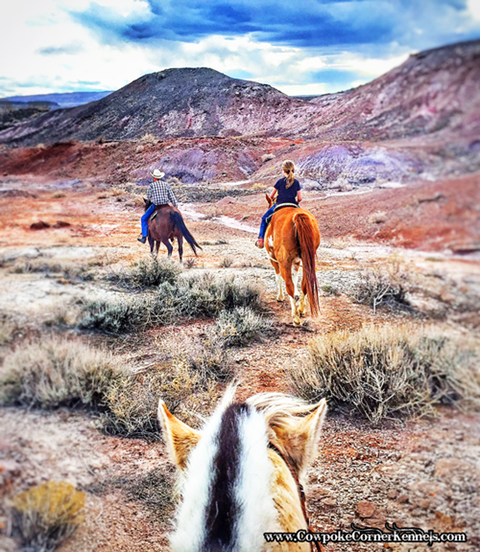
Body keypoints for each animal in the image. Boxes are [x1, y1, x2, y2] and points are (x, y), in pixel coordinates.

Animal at [264, 196, 320, 326]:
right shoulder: (296, 262)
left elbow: (279, 277)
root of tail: (298, 216)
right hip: (307, 260)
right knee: (305, 283)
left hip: (284, 262)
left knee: (288, 284)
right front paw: (296, 296)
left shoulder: (275, 261)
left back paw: (295, 317)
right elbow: (295, 279)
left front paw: (280, 296)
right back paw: (301, 309)